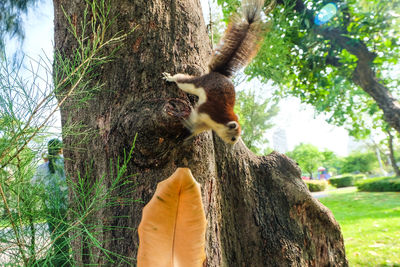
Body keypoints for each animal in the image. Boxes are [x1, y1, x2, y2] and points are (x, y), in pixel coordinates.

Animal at [162, 0, 266, 146]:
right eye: (233, 137)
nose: (231, 145)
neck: (220, 122)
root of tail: (218, 74)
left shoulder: (206, 123)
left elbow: (196, 129)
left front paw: (187, 136)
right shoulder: (207, 110)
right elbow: (194, 116)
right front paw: (186, 124)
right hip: (198, 83)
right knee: (183, 81)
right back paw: (170, 78)